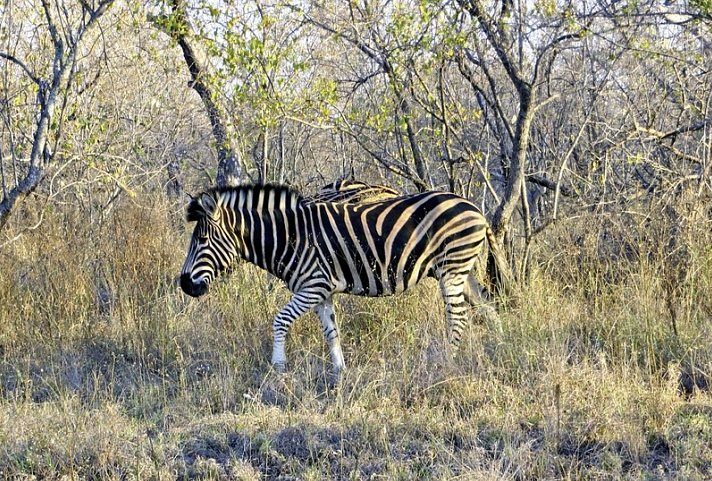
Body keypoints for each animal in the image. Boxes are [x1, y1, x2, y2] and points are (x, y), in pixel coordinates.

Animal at [181, 182, 508, 374]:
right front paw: (340, 373)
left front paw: (278, 367)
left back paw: (448, 362)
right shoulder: (321, 292)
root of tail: (475, 209)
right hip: (461, 270)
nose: (184, 285)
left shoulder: (313, 286)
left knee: (458, 317)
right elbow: (331, 332)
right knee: (488, 308)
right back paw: (499, 348)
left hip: (452, 268)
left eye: (201, 240)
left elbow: (280, 320)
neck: (290, 237)